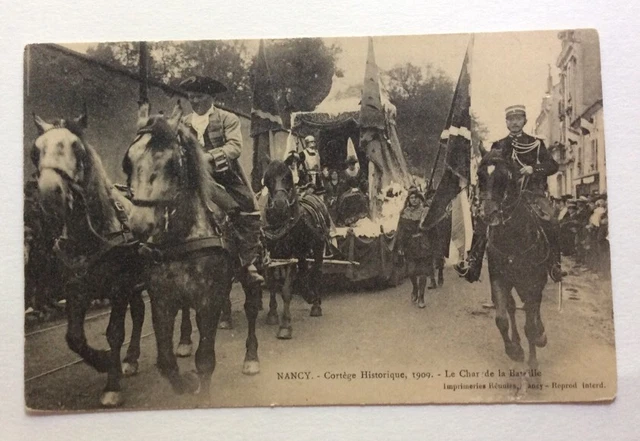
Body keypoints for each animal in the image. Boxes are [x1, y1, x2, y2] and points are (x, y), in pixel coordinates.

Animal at [30, 110, 146, 407]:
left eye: (77, 148)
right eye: (35, 152)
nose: (49, 193)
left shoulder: (119, 287)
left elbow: (114, 332)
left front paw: (112, 384)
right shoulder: (76, 287)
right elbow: (74, 338)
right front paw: (104, 361)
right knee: (140, 312)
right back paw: (131, 359)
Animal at [124, 101, 260, 399]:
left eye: (173, 163)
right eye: (128, 161)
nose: (139, 224)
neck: (182, 235)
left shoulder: (209, 300)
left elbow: (205, 359)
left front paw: (203, 394)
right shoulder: (161, 299)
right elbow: (165, 361)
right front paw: (184, 382)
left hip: (249, 268)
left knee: (252, 305)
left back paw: (251, 357)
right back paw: (185, 340)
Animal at [262, 160, 332, 334]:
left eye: (288, 178)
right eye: (268, 179)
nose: (280, 204)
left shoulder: (291, 256)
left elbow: (287, 289)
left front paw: (285, 326)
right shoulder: (272, 255)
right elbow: (272, 284)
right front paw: (272, 314)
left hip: (318, 246)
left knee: (317, 272)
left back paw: (316, 305)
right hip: (301, 251)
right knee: (304, 269)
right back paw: (308, 294)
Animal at [476, 149, 550, 368]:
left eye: (504, 177)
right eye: (479, 175)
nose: (488, 213)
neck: (513, 236)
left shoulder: (533, 281)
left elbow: (530, 325)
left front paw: (533, 360)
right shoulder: (499, 278)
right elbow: (501, 318)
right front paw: (514, 350)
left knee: (533, 307)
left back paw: (540, 335)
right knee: (512, 307)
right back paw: (517, 341)